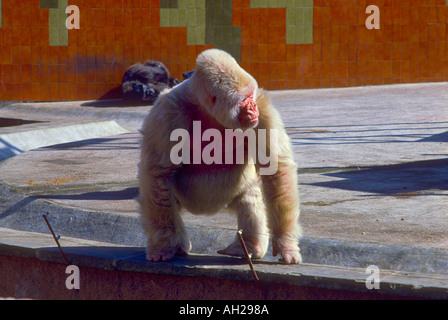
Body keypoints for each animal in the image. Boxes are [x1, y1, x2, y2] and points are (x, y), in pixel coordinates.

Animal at [138, 48, 302, 264]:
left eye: (250, 96)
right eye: (243, 101)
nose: (253, 108)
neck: (207, 110)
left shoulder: (263, 108)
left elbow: (276, 169)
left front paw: (286, 243)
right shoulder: (167, 113)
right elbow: (158, 174)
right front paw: (163, 245)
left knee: (251, 198)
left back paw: (248, 245)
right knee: (165, 193)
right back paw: (178, 242)